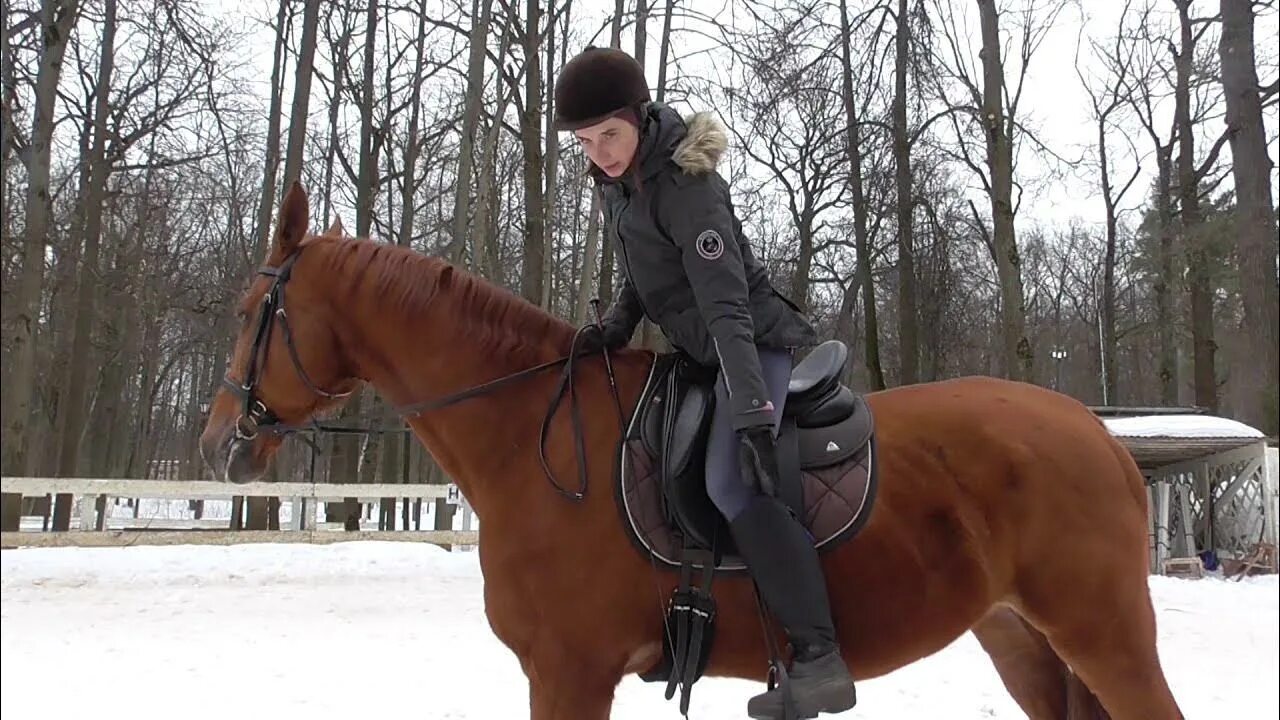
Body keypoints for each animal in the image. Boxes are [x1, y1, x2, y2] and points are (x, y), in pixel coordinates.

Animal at [202, 180, 1187, 717]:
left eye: (253, 313)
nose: (219, 442)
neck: (533, 440)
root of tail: (1097, 434)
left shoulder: (570, 672)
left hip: (1102, 633)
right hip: (1021, 639)